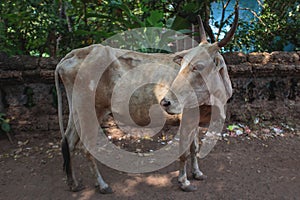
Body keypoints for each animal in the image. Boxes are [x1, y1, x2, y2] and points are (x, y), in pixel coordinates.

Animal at [55, 5, 239, 194]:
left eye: (199, 66)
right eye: (182, 64)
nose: (165, 102)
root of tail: (77, 53)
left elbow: (194, 148)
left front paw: (197, 173)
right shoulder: (186, 118)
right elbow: (185, 152)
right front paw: (184, 182)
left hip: (77, 111)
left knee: (68, 142)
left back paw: (73, 183)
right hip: (90, 112)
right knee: (85, 148)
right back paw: (102, 185)